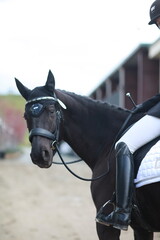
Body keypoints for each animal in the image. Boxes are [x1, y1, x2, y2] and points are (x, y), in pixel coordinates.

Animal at [15, 70, 160, 239]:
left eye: (51, 111)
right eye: (25, 116)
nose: (39, 154)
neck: (109, 141)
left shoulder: (106, 227)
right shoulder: (142, 228)